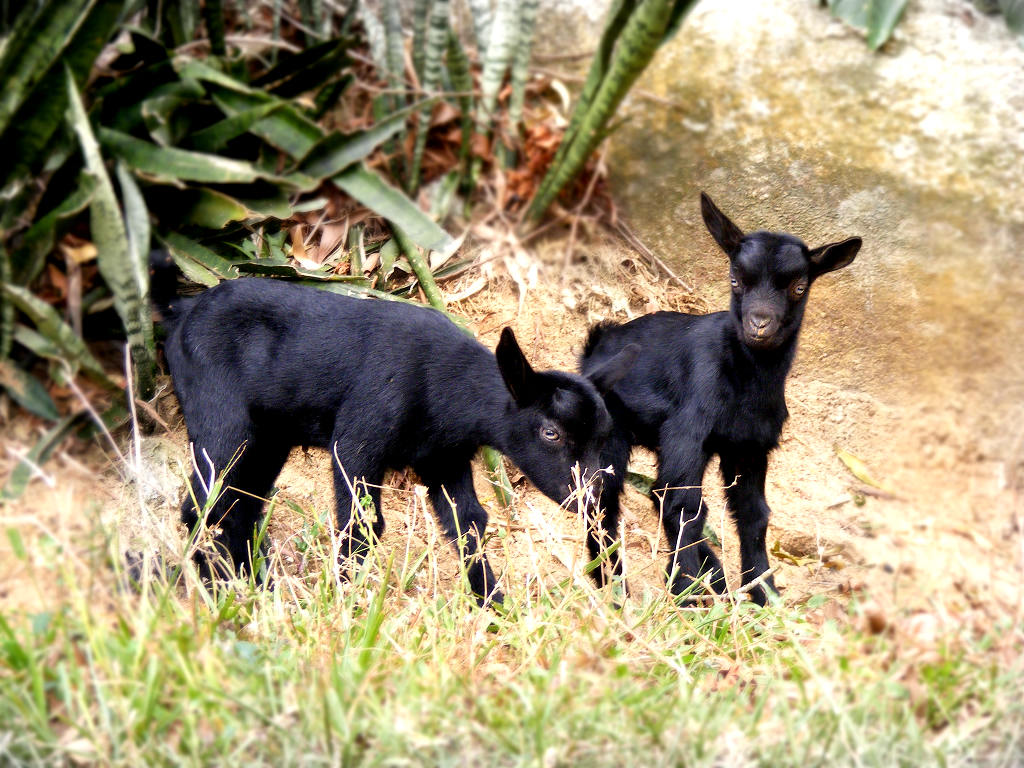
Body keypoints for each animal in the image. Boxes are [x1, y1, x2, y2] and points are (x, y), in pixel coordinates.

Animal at [155, 274, 634, 606]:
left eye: (603, 438)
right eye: (550, 432)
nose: (592, 497)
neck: (444, 384)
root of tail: (182, 310)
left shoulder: (444, 459)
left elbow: (468, 522)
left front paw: (495, 607)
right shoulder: (358, 437)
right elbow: (362, 525)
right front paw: (342, 602)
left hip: (271, 437)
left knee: (241, 506)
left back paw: (257, 587)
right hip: (221, 414)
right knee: (204, 503)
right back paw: (221, 592)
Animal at [581, 193, 860, 606]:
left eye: (799, 287)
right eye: (735, 280)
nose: (759, 323)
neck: (744, 382)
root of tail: (597, 342)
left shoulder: (750, 447)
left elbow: (753, 514)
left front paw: (763, 593)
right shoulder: (688, 429)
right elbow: (681, 504)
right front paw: (687, 596)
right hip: (610, 431)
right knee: (602, 500)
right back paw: (612, 583)